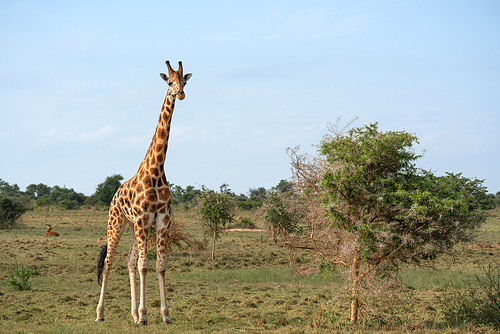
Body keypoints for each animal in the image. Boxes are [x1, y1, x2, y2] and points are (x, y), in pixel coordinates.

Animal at [95, 60, 191, 326]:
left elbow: (159, 265)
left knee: (128, 261)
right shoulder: (142, 219)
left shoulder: (161, 219)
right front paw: (145, 315)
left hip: (130, 226)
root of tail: (114, 196)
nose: (181, 93)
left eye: (185, 81)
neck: (157, 170)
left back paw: (132, 313)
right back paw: (100, 313)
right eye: (170, 82)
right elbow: (144, 265)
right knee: (109, 262)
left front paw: (164, 315)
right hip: (117, 222)